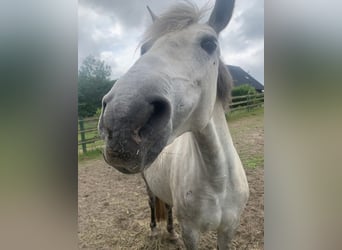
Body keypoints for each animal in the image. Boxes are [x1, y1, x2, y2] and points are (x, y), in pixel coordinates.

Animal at [98, 0, 248, 249]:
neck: (218, 183)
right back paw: (154, 231)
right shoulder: (191, 232)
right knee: (152, 202)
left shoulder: (229, 230)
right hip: (147, 182)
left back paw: (170, 233)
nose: (121, 119)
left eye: (210, 43)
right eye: (145, 48)